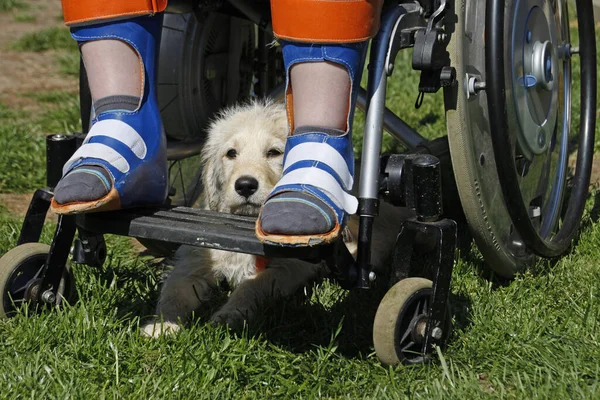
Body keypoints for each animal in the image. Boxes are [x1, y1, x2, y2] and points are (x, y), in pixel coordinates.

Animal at [140, 101, 404, 338]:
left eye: (274, 152)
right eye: (231, 153)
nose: (245, 185)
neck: (246, 222)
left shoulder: (289, 267)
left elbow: (253, 285)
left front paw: (229, 314)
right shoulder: (194, 259)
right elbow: (174, 290)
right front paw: (162, 324)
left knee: (379, 241)